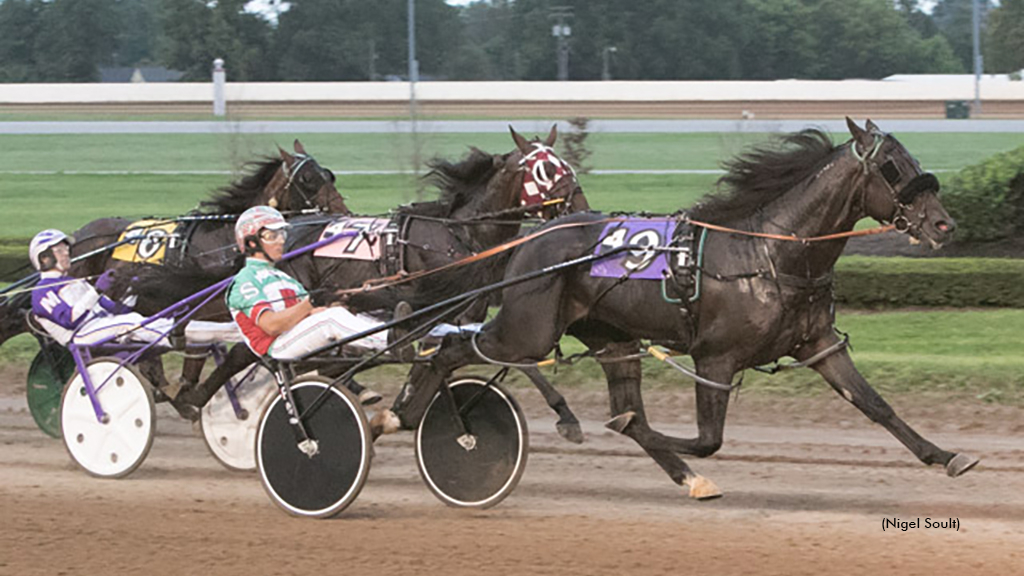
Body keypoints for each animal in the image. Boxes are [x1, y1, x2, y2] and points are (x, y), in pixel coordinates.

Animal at [389, 118, 974, 496]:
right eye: (893, 168)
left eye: (915, 161)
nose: (944, 224)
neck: (769, 253)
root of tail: (530, 239)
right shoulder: (715, 357)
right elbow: (707, 439)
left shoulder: (820, 345)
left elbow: (876, 405)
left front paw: (947, 456)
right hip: (525, 330)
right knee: (449, 349)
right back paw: (402, 415)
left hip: (610, 339)